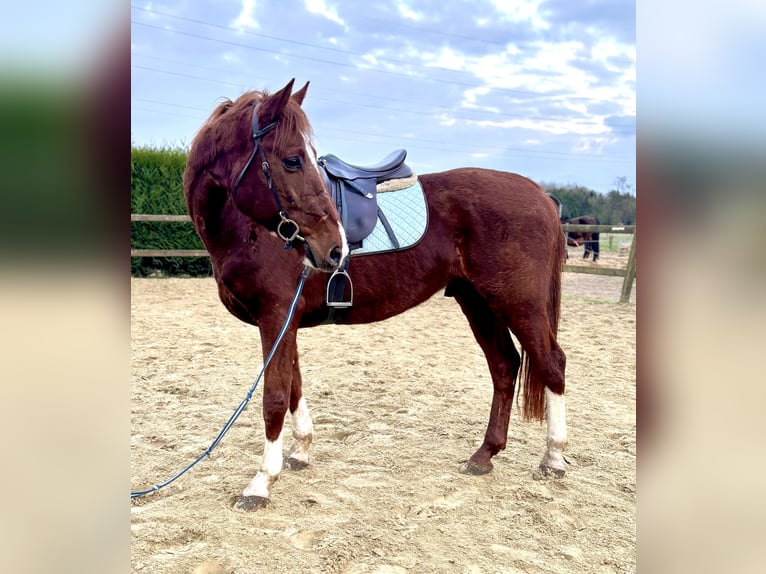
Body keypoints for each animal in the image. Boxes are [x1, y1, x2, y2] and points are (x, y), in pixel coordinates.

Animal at [183, 77, 568, 512]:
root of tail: (540, 195)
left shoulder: (277, 317)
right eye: (293, 160)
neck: (247, 231)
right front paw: (301, 451)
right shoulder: (286, 323)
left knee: (551, 364)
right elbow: (294, 385)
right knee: (505, 366)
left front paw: (262, 482)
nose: (335, 247)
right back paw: (484, 455)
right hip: (477, 302)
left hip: (519, 304)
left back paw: (553, 458)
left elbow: (275, 396)